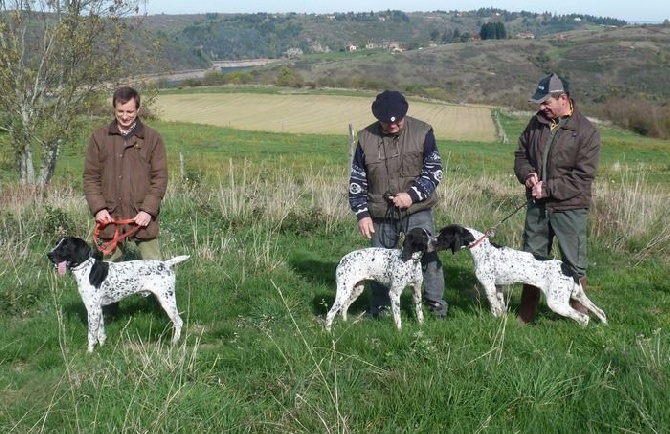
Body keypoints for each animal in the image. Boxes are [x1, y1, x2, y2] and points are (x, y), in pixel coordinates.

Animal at [47, 237, 190, 352]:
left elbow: (91, 335)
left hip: (167, 300)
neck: (87, 270)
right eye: (57, 243)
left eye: (65, 245)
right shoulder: (98, 309)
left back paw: (174, 342)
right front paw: (102, 347)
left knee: (179, 322)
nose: (49, 255)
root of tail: (165, 264)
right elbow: (101, 333)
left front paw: (89, 352)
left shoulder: (92, 310)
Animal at [430, 225, 608, 324]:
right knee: (599, 311)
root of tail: (568, 268)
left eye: (443, 235)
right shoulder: (498, 287)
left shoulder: (488, 286)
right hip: (578, 296)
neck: (481, 248)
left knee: (583, 318)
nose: (430, 242)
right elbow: (501, 307)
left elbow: (494, 307)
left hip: (556, 302)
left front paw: (494, 320)